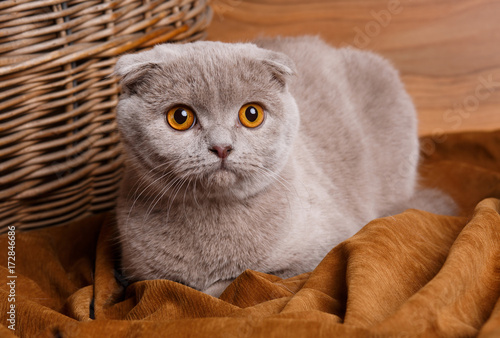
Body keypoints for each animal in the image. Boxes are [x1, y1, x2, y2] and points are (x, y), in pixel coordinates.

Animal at [114, 35, 458, 298]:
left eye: (251, 114)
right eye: (180, 117)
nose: (222, 146)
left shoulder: (324, 250)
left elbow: (242, 280)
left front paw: (214, 285)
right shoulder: (140, 275)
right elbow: (171, 283)